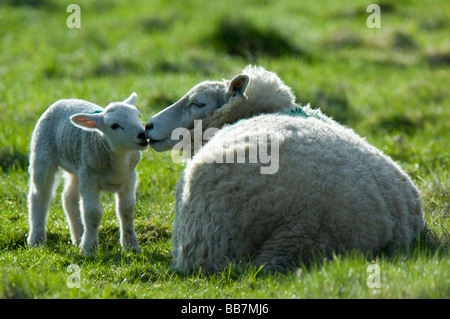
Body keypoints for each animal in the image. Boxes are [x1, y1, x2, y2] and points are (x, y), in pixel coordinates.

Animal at [27, 92, 148, 255]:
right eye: (114, 126)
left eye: (138, 115)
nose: (143, 134)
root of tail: (65, 100)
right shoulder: (90, 180)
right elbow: (93, 213)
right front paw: (89, 249)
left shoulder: (129, 179)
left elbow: (126, 210)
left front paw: (131, 246)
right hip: (42, 154)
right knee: (40, 195)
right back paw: (36, 239)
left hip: (77, 168)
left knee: (68, 197)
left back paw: (78, 238)